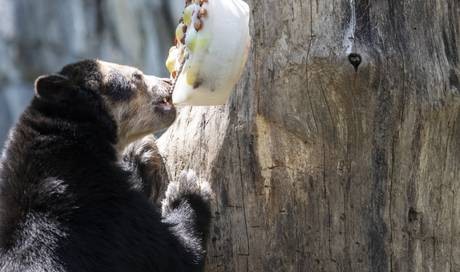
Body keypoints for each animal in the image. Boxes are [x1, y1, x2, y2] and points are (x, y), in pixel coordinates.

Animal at [0, 60, 213, 272]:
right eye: (136, 76)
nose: (168, 83)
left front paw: (138, 153)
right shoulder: (100, 208)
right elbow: (171, 254)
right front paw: (188, 188)